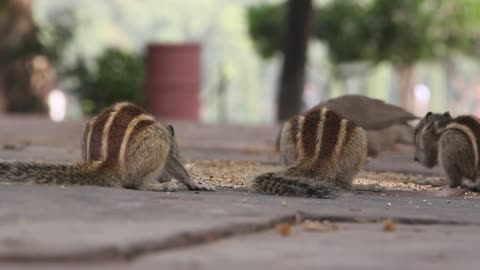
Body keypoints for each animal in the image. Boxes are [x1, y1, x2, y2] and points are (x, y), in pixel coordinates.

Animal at [0, 102, 214, 192]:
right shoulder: (168, 149)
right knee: (136, 183)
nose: (164, 178)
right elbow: (176, 165)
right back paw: (159, 186)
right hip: (156, 139)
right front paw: (195, 183)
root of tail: (107, 164)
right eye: (180, 151)